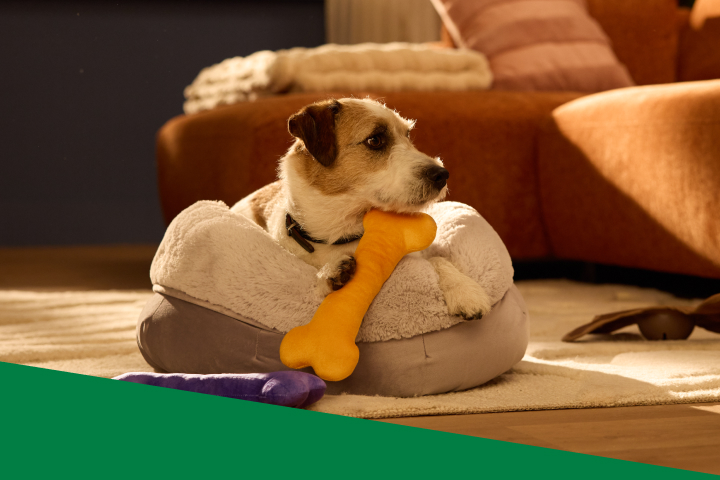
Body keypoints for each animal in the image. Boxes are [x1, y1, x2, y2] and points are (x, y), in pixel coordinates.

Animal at [231, 98, 491, 319]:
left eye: (408, 135)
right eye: (375, 140)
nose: (442, 174)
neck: (345, 231)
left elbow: (438, 259)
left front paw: (465, 291)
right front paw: (330, 274)